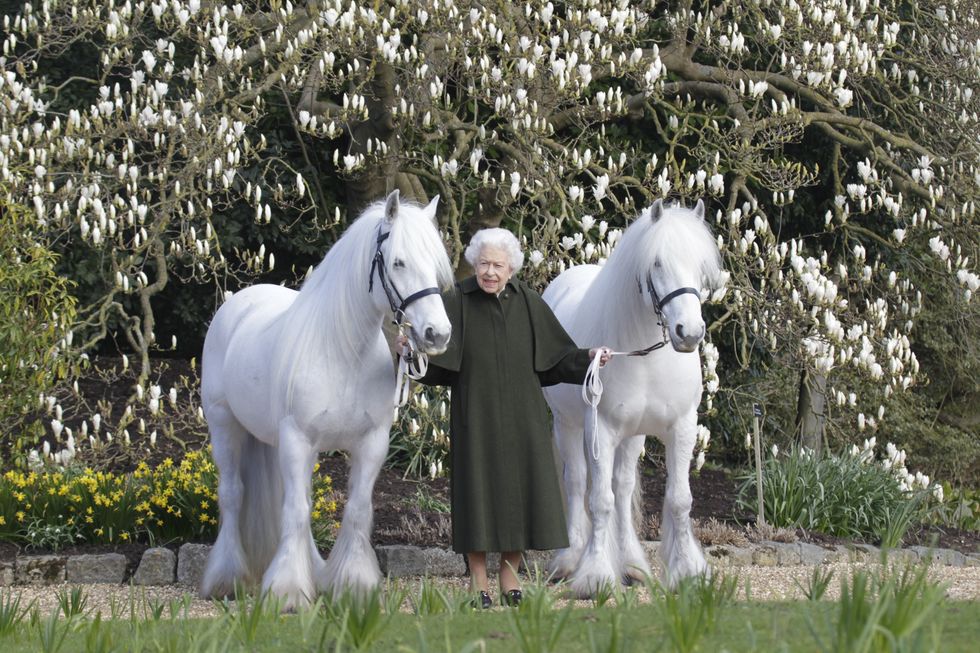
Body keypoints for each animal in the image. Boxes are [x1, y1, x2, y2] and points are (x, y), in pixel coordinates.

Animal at [199, 190, 453, 611]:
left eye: (435, 265)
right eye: (398, 262)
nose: (438, 334)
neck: (343, 351)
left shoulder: (371, 444)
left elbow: (356, 510)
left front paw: (353, 585)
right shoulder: (298, 440)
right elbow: (296, 512)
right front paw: (287, 592)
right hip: (226, 427)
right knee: (233, 495)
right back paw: (227, 579)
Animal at [541, 198, 722, 597]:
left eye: (700, 266)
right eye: (657, 263)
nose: (689, 333)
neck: (646, 355)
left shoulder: (681, 427)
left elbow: (678, 500)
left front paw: (687, 571)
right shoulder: (602, 430)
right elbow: (599, 500)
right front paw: (594, 575)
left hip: (633, 435)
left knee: (622, 489)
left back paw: (632, 565)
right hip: (568, 426)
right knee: (577, 483)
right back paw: (569, 559)